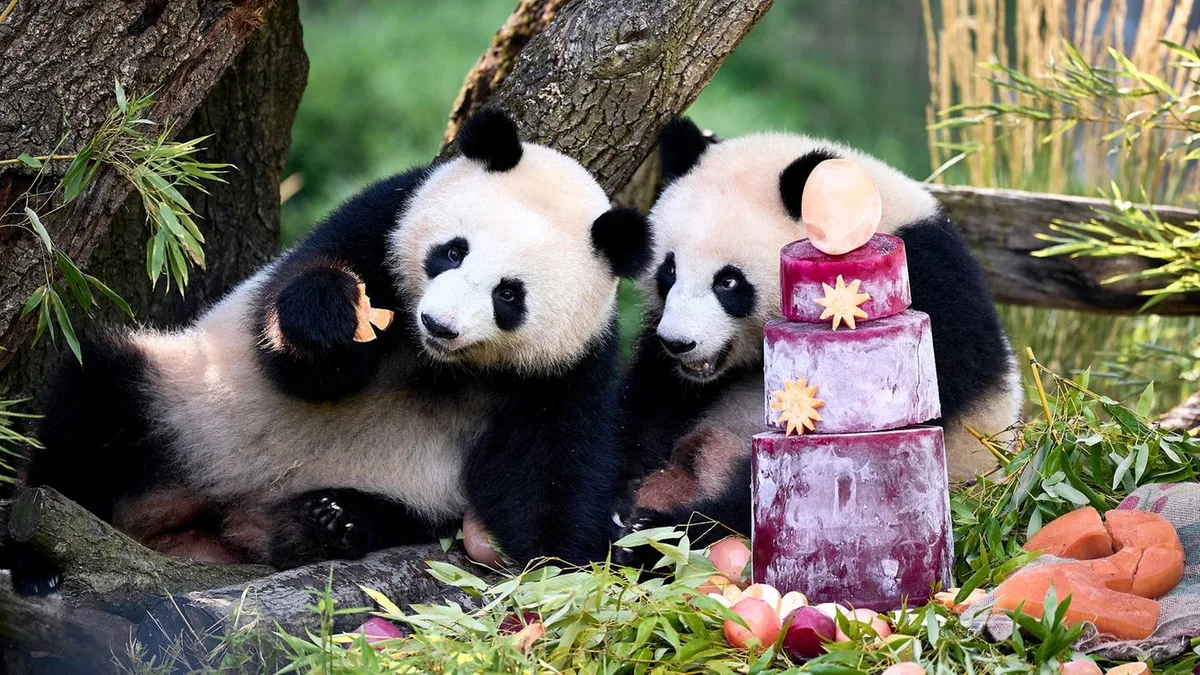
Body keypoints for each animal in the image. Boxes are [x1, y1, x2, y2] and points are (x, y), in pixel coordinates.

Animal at [17, 108, 652, 582]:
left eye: (508, 295)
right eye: (452, 251)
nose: (438, 323)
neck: (438, 364)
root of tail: (203, 528)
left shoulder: (565, 368)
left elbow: (551, 473)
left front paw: (564, 565)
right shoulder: (382, 221)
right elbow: (301, 362)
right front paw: (330, 316)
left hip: (396, 491)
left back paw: (328, 522)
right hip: (185, 403)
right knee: (97, 402)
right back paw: (37, 555)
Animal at [616, 118, 1021, 553]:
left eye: (728, 281)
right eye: (669, 271)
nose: (678, 342)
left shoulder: (926, 292)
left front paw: (663, 526)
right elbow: (646, 408)